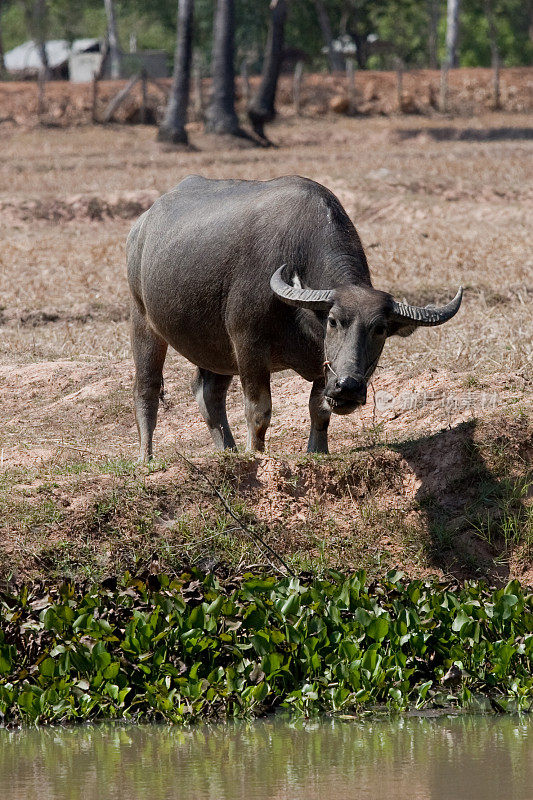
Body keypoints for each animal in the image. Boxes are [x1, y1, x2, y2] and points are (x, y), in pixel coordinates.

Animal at [127, 177, 460, 460]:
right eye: (333, 321)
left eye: (379, 329)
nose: (348, 387)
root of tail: (141, 225)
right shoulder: (248, 346)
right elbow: (259, 411)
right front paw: (256, 453)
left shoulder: (321, 366)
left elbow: (319, 410)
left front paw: (317, 451)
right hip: (142, 320)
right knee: (147, 389)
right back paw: (146, 458)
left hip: (215, 348)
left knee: (208, 391)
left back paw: (227, 451)